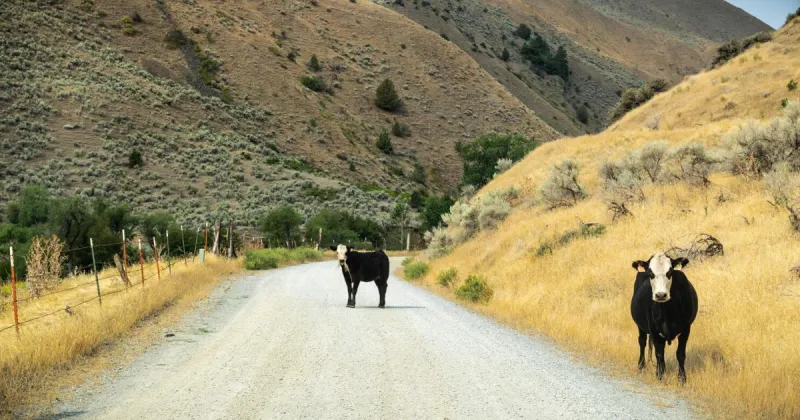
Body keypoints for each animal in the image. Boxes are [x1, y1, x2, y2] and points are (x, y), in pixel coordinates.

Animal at [630, 253, 698, 383]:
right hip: (640, 326)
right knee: (642, 342)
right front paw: (659, 376)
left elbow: (680, 354)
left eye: (670, 271)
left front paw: (682, 378)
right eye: (650, 273)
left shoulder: (686, 329)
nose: (661, 295)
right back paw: (642, 366)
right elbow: (659, 354)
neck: (667, 312)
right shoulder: (654, 330)